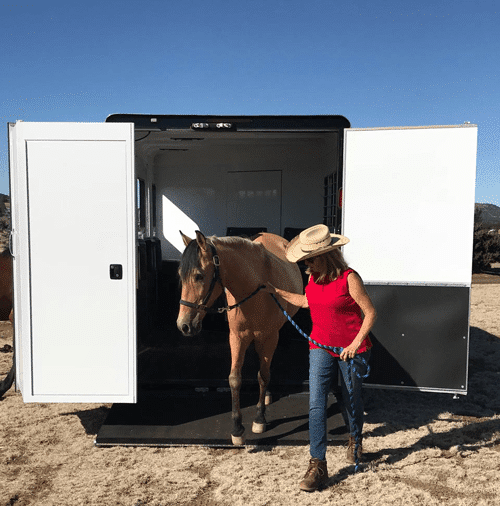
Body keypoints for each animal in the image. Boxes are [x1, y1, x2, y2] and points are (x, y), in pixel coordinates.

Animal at [177, 231, 300, 444]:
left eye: (199, 276)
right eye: (180, 275)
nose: (183, 325)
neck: (257, 290)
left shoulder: (269, 338)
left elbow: (263, 375)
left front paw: (260, 418)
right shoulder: (237, 338)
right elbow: (235, 379)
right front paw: (237, 430)